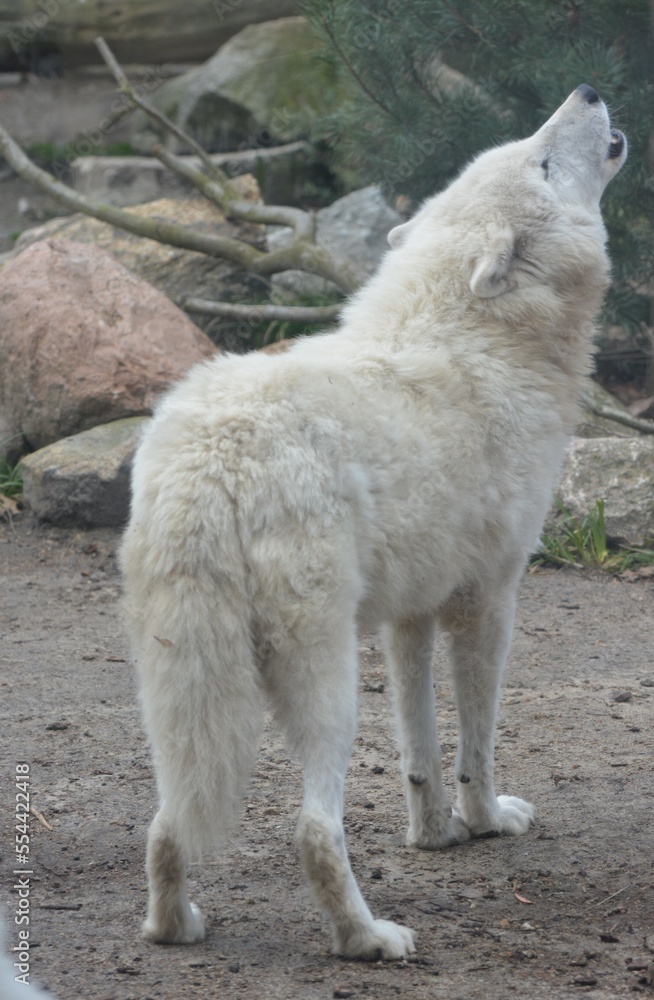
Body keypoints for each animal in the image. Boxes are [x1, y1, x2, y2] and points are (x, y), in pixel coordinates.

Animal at [120, 85, 626, 960]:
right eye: (541, 160)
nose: (588, 92)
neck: (481, 337)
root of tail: (214, 458)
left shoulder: (410, 616)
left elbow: (420, 748)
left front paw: (433, 836)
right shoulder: (490, 602)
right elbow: (476, 743)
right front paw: (485, 824)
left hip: (179, 690)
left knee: (167, 821)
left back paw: (173, 925)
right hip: (325, 683)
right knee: (313, 830)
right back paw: (369, 939)